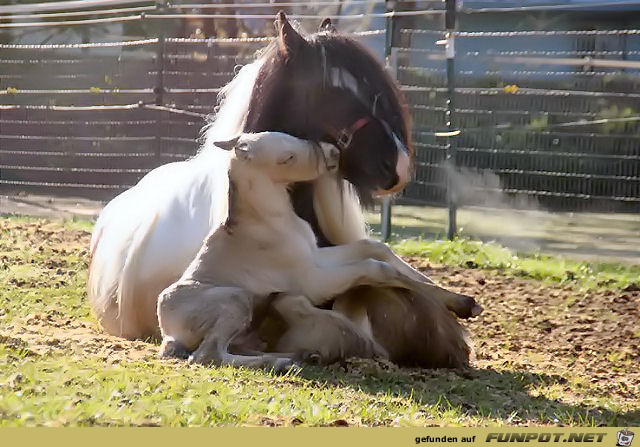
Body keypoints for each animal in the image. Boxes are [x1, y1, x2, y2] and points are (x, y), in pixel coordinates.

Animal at [158, 133, 472, 372]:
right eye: (287, 157)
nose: (333, 152)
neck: (270, 222)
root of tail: (168, 331)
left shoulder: (316, 256)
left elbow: (374, 248)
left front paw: (461, 302)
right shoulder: (311, 280)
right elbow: (374, 267)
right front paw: (464, 305)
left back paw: (299, 355)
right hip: (237, 300)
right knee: (207, 355)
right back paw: (285, 362)